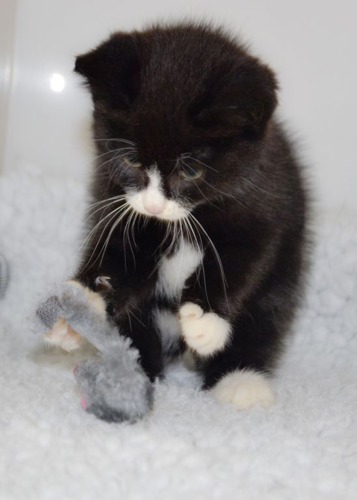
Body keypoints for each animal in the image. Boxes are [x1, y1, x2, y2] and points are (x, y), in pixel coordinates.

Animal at [70, 23, 308, 412]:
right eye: (131, 161)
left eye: (192, 171)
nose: (154, 206)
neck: (186, 217)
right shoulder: (114, 198)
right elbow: (120, 255)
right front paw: (82, 303)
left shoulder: (266, 201)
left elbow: (244, 258)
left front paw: (207, 320)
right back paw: (131, 371)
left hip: (283, 278)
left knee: (266, 317)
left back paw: (241, 380)